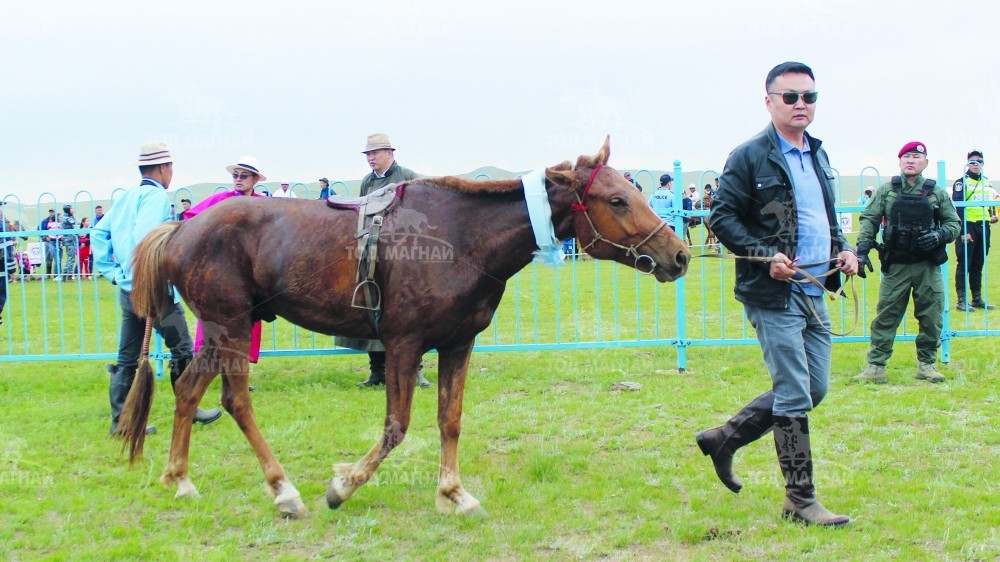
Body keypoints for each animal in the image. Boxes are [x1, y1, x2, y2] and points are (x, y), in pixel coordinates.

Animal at [121, 139, 692, 516]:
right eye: (617, 199)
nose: (680, 254)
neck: (461, 237)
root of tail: (180, 227)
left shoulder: (458, 343)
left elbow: (450, 420)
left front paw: (454, 492)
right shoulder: (402, 344)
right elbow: (397, 427)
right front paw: (343, 485)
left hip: (221, 331)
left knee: (190, 390)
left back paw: (181, 479)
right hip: (232, 327)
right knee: (234, 399)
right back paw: (283, 490)